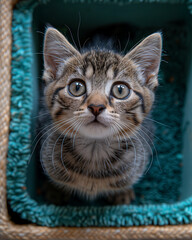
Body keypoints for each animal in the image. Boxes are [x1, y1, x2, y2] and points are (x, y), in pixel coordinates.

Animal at [41, 28, 162, 204]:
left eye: (120, 90)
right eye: (76, 87)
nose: (96, 107)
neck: (95, 150)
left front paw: (121, 193)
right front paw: (54, 191)